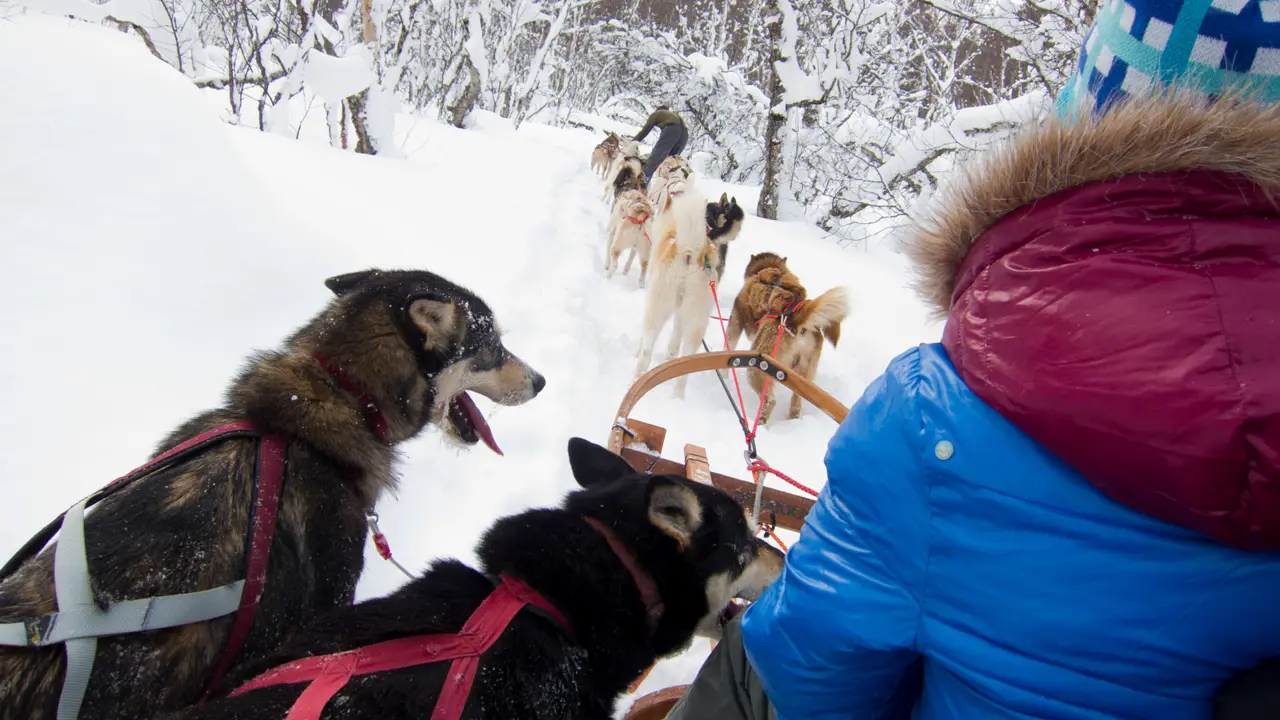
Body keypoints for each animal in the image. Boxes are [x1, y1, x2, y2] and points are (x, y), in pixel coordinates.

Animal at [732, 252, 849, 420]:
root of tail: (798, 316)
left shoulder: (736, 318)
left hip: (758, 367)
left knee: (770, 401)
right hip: (802, 377)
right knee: (796, 403)